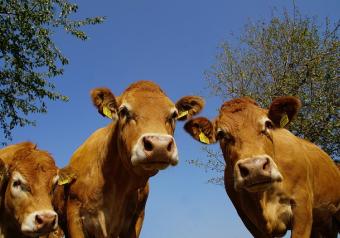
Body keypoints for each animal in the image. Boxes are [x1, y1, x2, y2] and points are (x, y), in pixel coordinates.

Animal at [59, 81, 205, 237]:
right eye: (123, 111)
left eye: (174, 114)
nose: (159, 145)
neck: (118, 183)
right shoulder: (75, 215)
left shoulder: (137, 218)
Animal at [185, 96, 340, 237]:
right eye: (221, 134)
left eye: (268, 124)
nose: (255, 168)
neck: (266, 197)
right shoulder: (250, 221)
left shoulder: (302, 209)